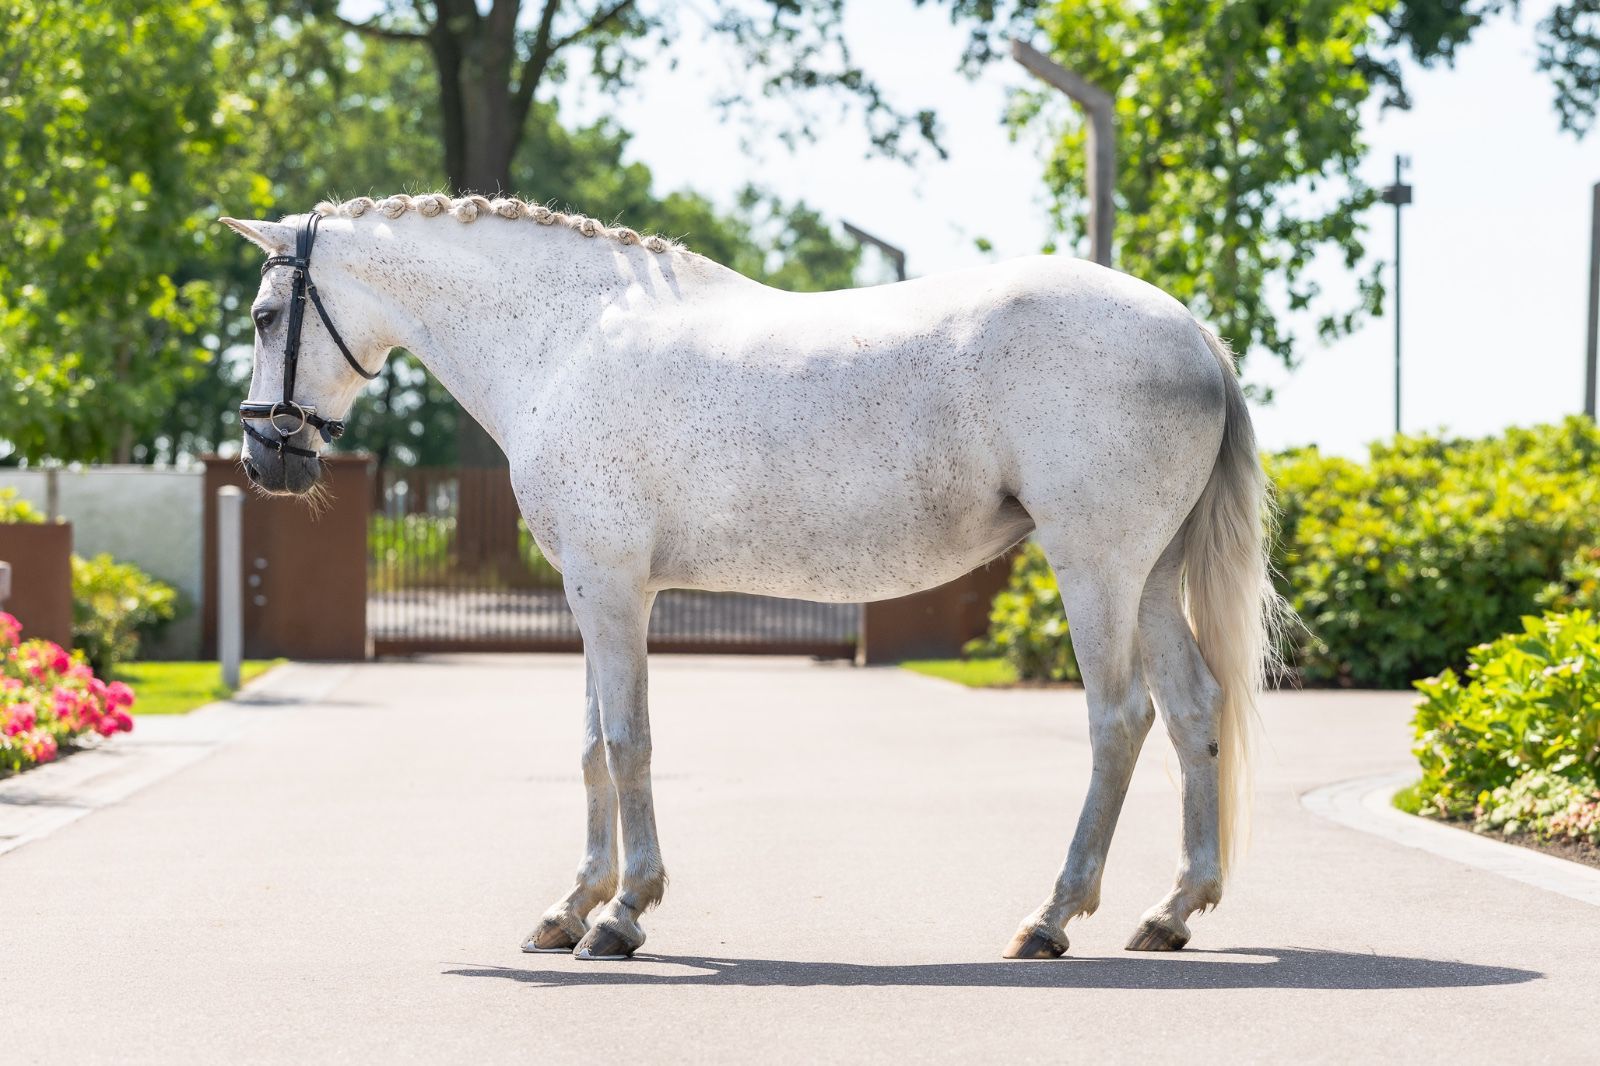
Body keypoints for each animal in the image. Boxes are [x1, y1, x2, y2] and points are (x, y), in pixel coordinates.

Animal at [220, 192, 1280, 962]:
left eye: (268, 315)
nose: (266, 459)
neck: (567, 343)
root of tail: (1190, 331)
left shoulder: (612, 588)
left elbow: (628, 744)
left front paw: (624, 914)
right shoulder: (594, 591)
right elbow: (593, 748)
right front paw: (573, 908)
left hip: (1095, 568)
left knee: (1119, 720)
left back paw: (1052, 917)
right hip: (1149, 577)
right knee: (1193, 711)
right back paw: (1173, 910)